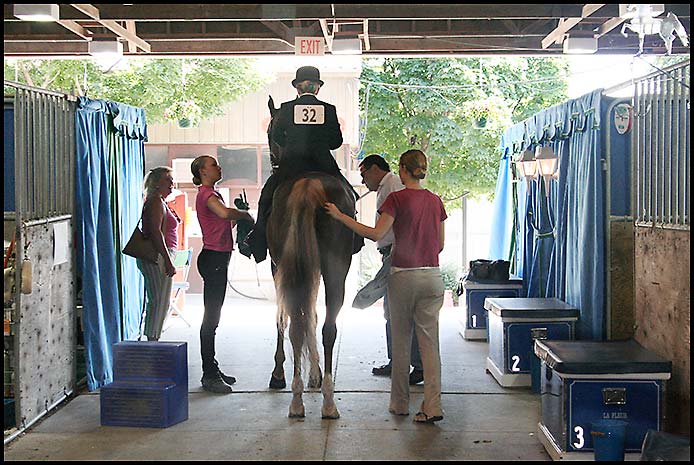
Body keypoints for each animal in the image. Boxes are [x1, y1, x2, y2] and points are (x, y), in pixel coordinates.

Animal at [264, 94, 356, 416]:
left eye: (270, 131)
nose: (273, 162)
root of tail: (309, 186)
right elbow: (306, 317)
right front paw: (311, 375)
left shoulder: (278, 267)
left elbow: (289, 318)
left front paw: (282, 373)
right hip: (334, 268)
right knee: (325, 326)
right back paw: (324, 399)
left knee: (298, 324)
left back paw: (299, 398)